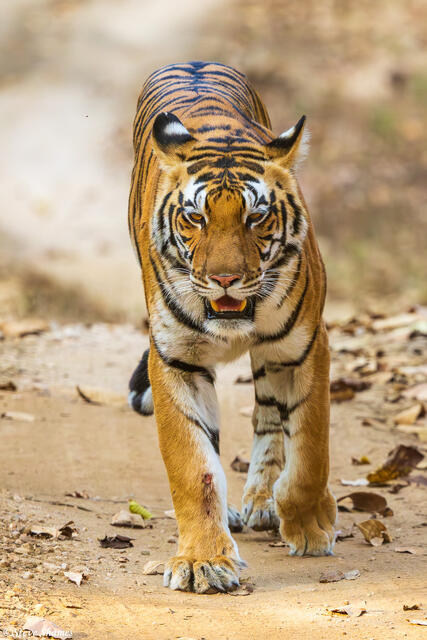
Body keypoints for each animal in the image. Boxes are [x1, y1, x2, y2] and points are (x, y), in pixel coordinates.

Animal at [128, 61, 337, 594]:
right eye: (195, 217)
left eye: (256, 216)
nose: (225, 278)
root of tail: (195, 61)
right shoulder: (176, 359)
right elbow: (193, 466)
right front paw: (203, 561)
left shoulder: (306, 348)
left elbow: (310, 449)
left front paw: (309, 525)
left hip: (275, 357)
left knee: (270, 418)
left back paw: (267, 503)